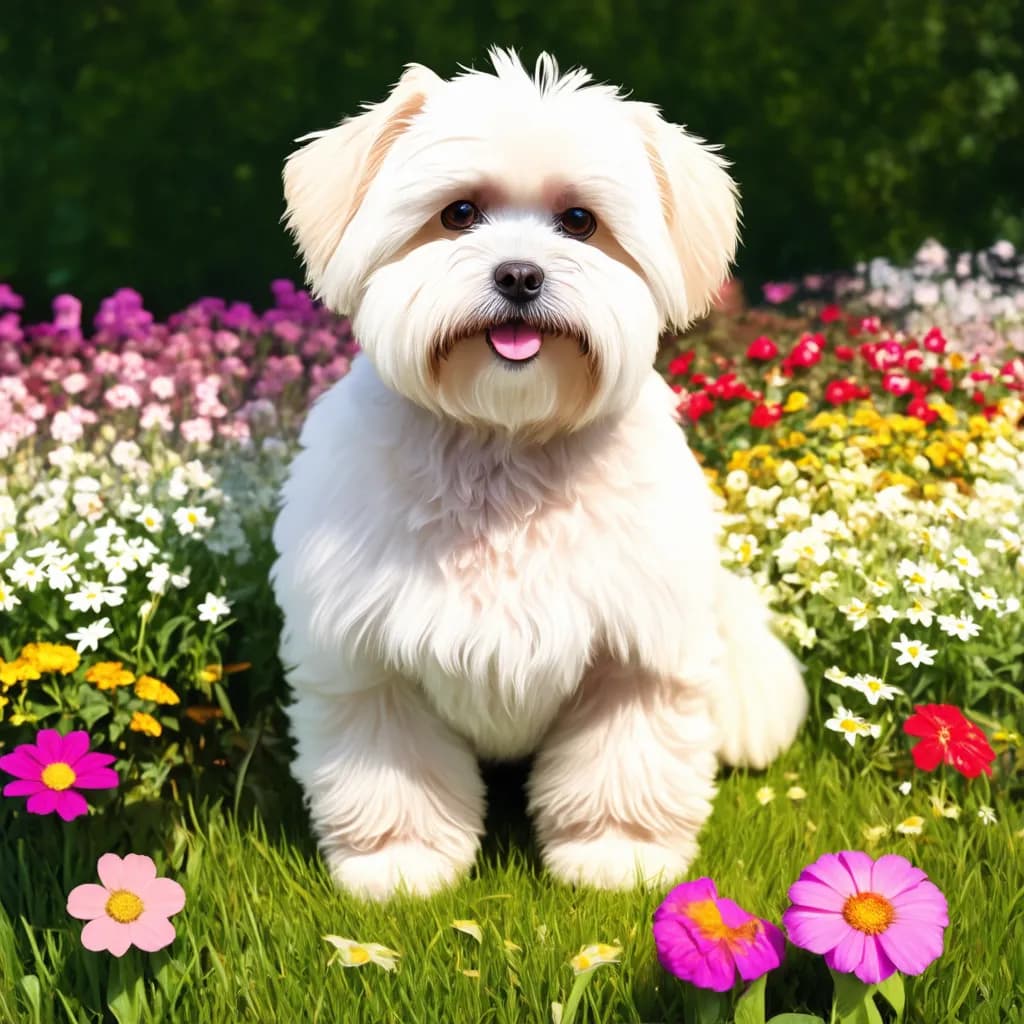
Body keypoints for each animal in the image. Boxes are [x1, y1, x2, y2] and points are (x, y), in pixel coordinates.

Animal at [272, 48, 806, 901]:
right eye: (458, 213)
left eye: (580, 222)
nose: (519, 275)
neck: (506, 443)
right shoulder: (366, 654)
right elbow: (392, 771)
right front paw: (399, 864)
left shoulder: (637, 647)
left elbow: (624, 760)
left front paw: (618, 854)